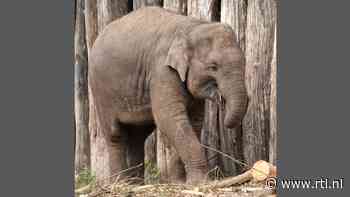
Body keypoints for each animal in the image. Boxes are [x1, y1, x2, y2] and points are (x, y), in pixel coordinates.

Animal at [89, 6, 247, 185]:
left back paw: (137, 183)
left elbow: (194, 121)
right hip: (100, 90)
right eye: (213, 67)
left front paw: (178, 182)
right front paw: (200, 183)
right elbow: (169, 118)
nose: (221, 101)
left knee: (138, 136)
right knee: (115, 134)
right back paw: (120, 183)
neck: (193, 27)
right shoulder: (162, 70)